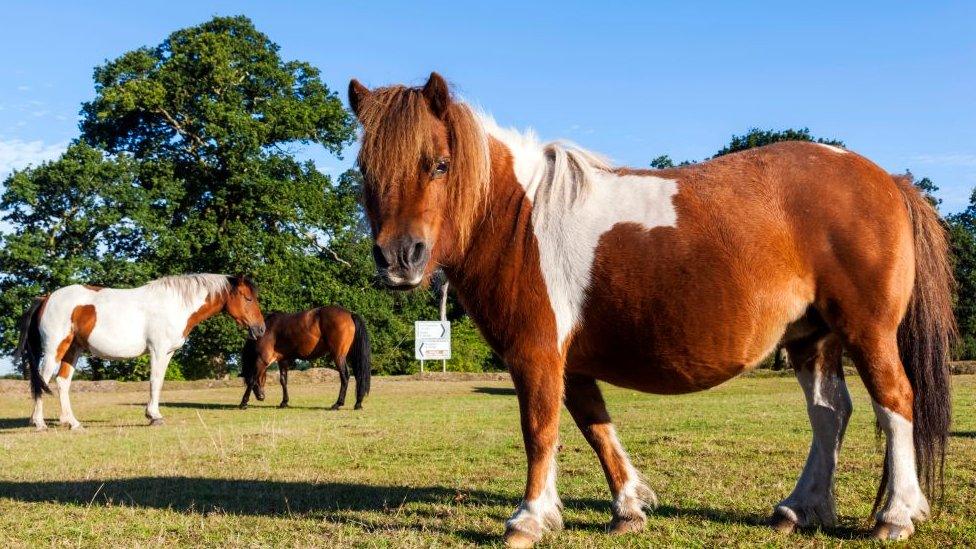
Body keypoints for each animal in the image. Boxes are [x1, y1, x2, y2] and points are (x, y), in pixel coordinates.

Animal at [16, 274, 266, 428]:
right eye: (248, 298)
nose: (260, 329)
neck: (175, 304)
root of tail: (47, 298)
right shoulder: (158, 350)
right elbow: (155, 381)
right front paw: (154, 416)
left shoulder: (167, 353)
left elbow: (160, 382)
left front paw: (152, 414)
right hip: (54, 350)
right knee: (42, 380)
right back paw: (39, 423)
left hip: (72, 350)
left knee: (62, 382)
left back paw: (73, 423)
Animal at [238, 306, 372, 408]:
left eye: (246, 376)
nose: (261, 397)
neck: (268, 329)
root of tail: (349, 314)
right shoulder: (283, 360)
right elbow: (283, 380)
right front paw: (284, 402)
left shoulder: (262, 360)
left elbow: (253, 379)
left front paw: (243, 403)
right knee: (358, 375)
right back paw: (358, 403)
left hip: (339, 356)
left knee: (345, 376)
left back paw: (338, 404)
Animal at [348, 71, 952, 544]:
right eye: (365, 172)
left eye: (439, 164)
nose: (399, 258)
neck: (518, 218)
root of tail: (887, 180)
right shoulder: (572, 362)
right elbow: (596, 427)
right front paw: (629, 508)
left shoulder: (537, 354)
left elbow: (540, 430)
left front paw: (530, 518)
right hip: (811, 337)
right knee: (829, 413)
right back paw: (800, 508)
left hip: (867, 331)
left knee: (894, 403)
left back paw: (896, 516)